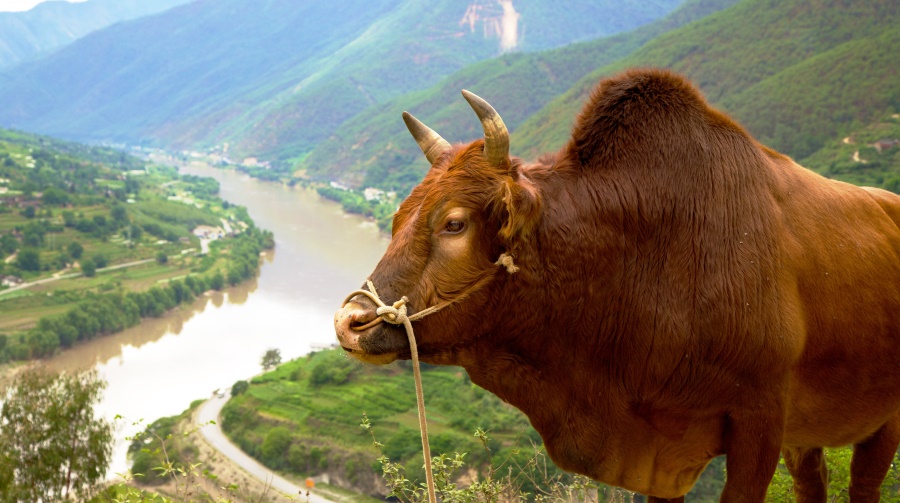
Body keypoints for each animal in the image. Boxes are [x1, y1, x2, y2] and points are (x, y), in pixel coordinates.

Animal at [334, 68, 900, 502]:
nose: (349, 322)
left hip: (880, 423)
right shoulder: (665, 453)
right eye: (397, 217)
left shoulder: (758, 427)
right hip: (806, 435)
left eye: (454, 224)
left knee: (864, 486)